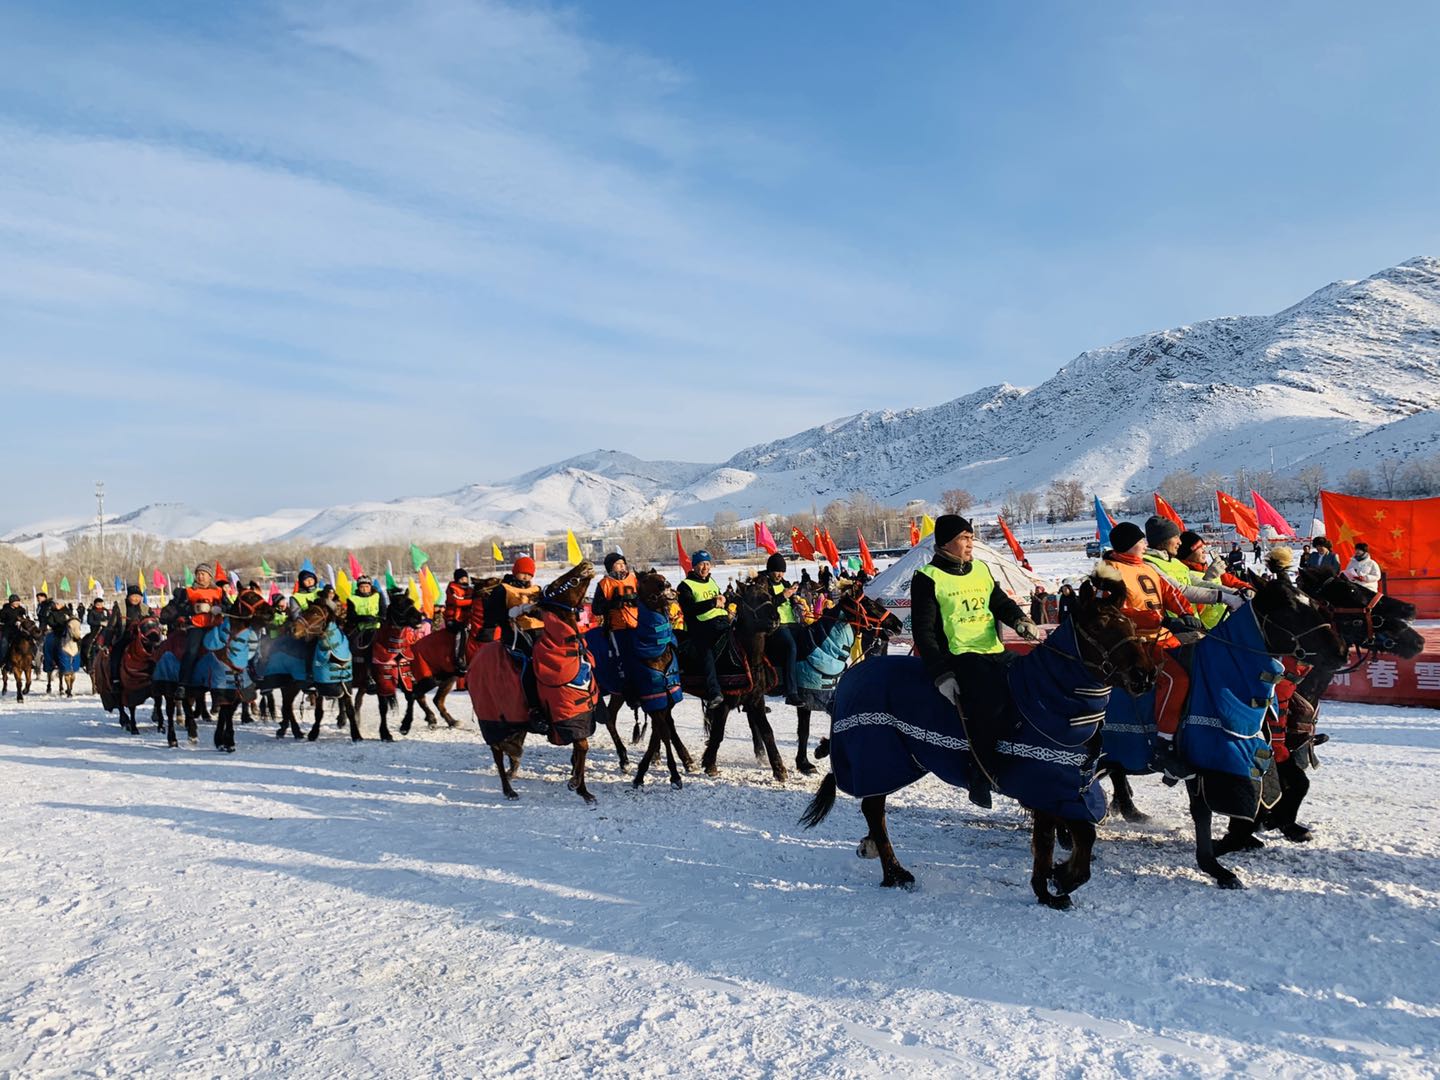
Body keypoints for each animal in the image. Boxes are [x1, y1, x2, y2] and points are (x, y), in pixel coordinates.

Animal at [800, 570, 1157, 910]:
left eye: (1129, 623)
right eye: (1099, 625)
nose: (1145, 675)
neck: (1047, 704)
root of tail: (851, 678)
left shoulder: (1061, 790)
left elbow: (1055, 841)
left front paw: (1047, 888)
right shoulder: (1048, 787)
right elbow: (1079, 838)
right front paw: (1061, 878)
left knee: (874, 808)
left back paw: (878, 853)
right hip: (879, 757)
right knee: (873, 809)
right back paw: (894, 872)